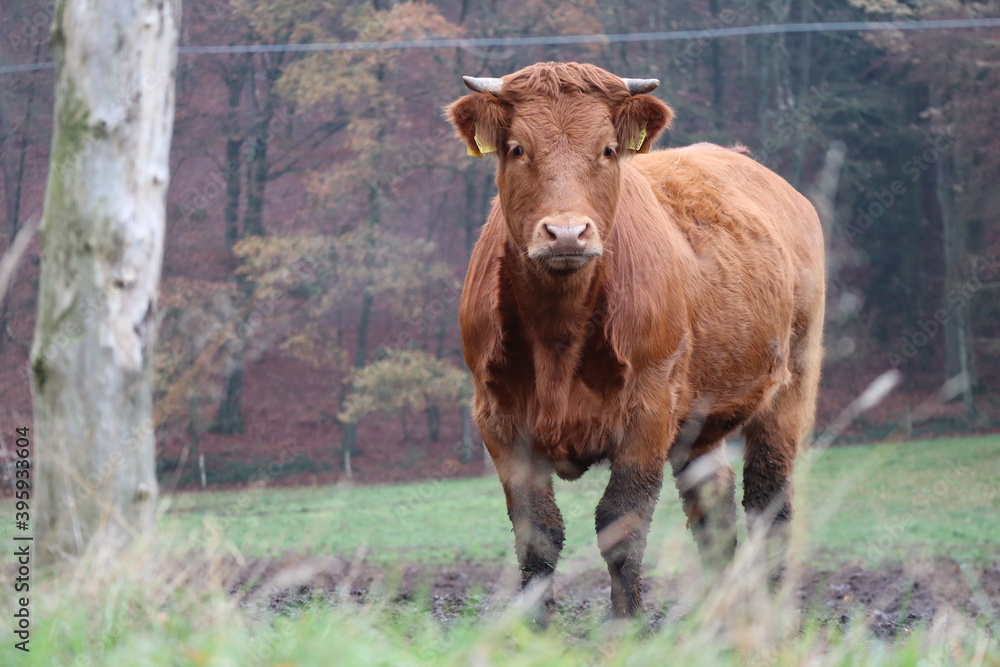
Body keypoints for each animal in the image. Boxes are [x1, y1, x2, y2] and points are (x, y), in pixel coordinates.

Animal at [446, 62, 825, 618]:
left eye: (607, 149)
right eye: (517, 148)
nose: (567, 233)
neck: (558, 332)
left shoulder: (649, 409)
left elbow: (620, 526)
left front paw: (627, 627)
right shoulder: (498, 417)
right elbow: (537, 535)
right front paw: (534, 628)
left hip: (792, 384)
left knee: (768, 503)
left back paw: (771, 615)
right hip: (701, 416)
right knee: (713, 510)